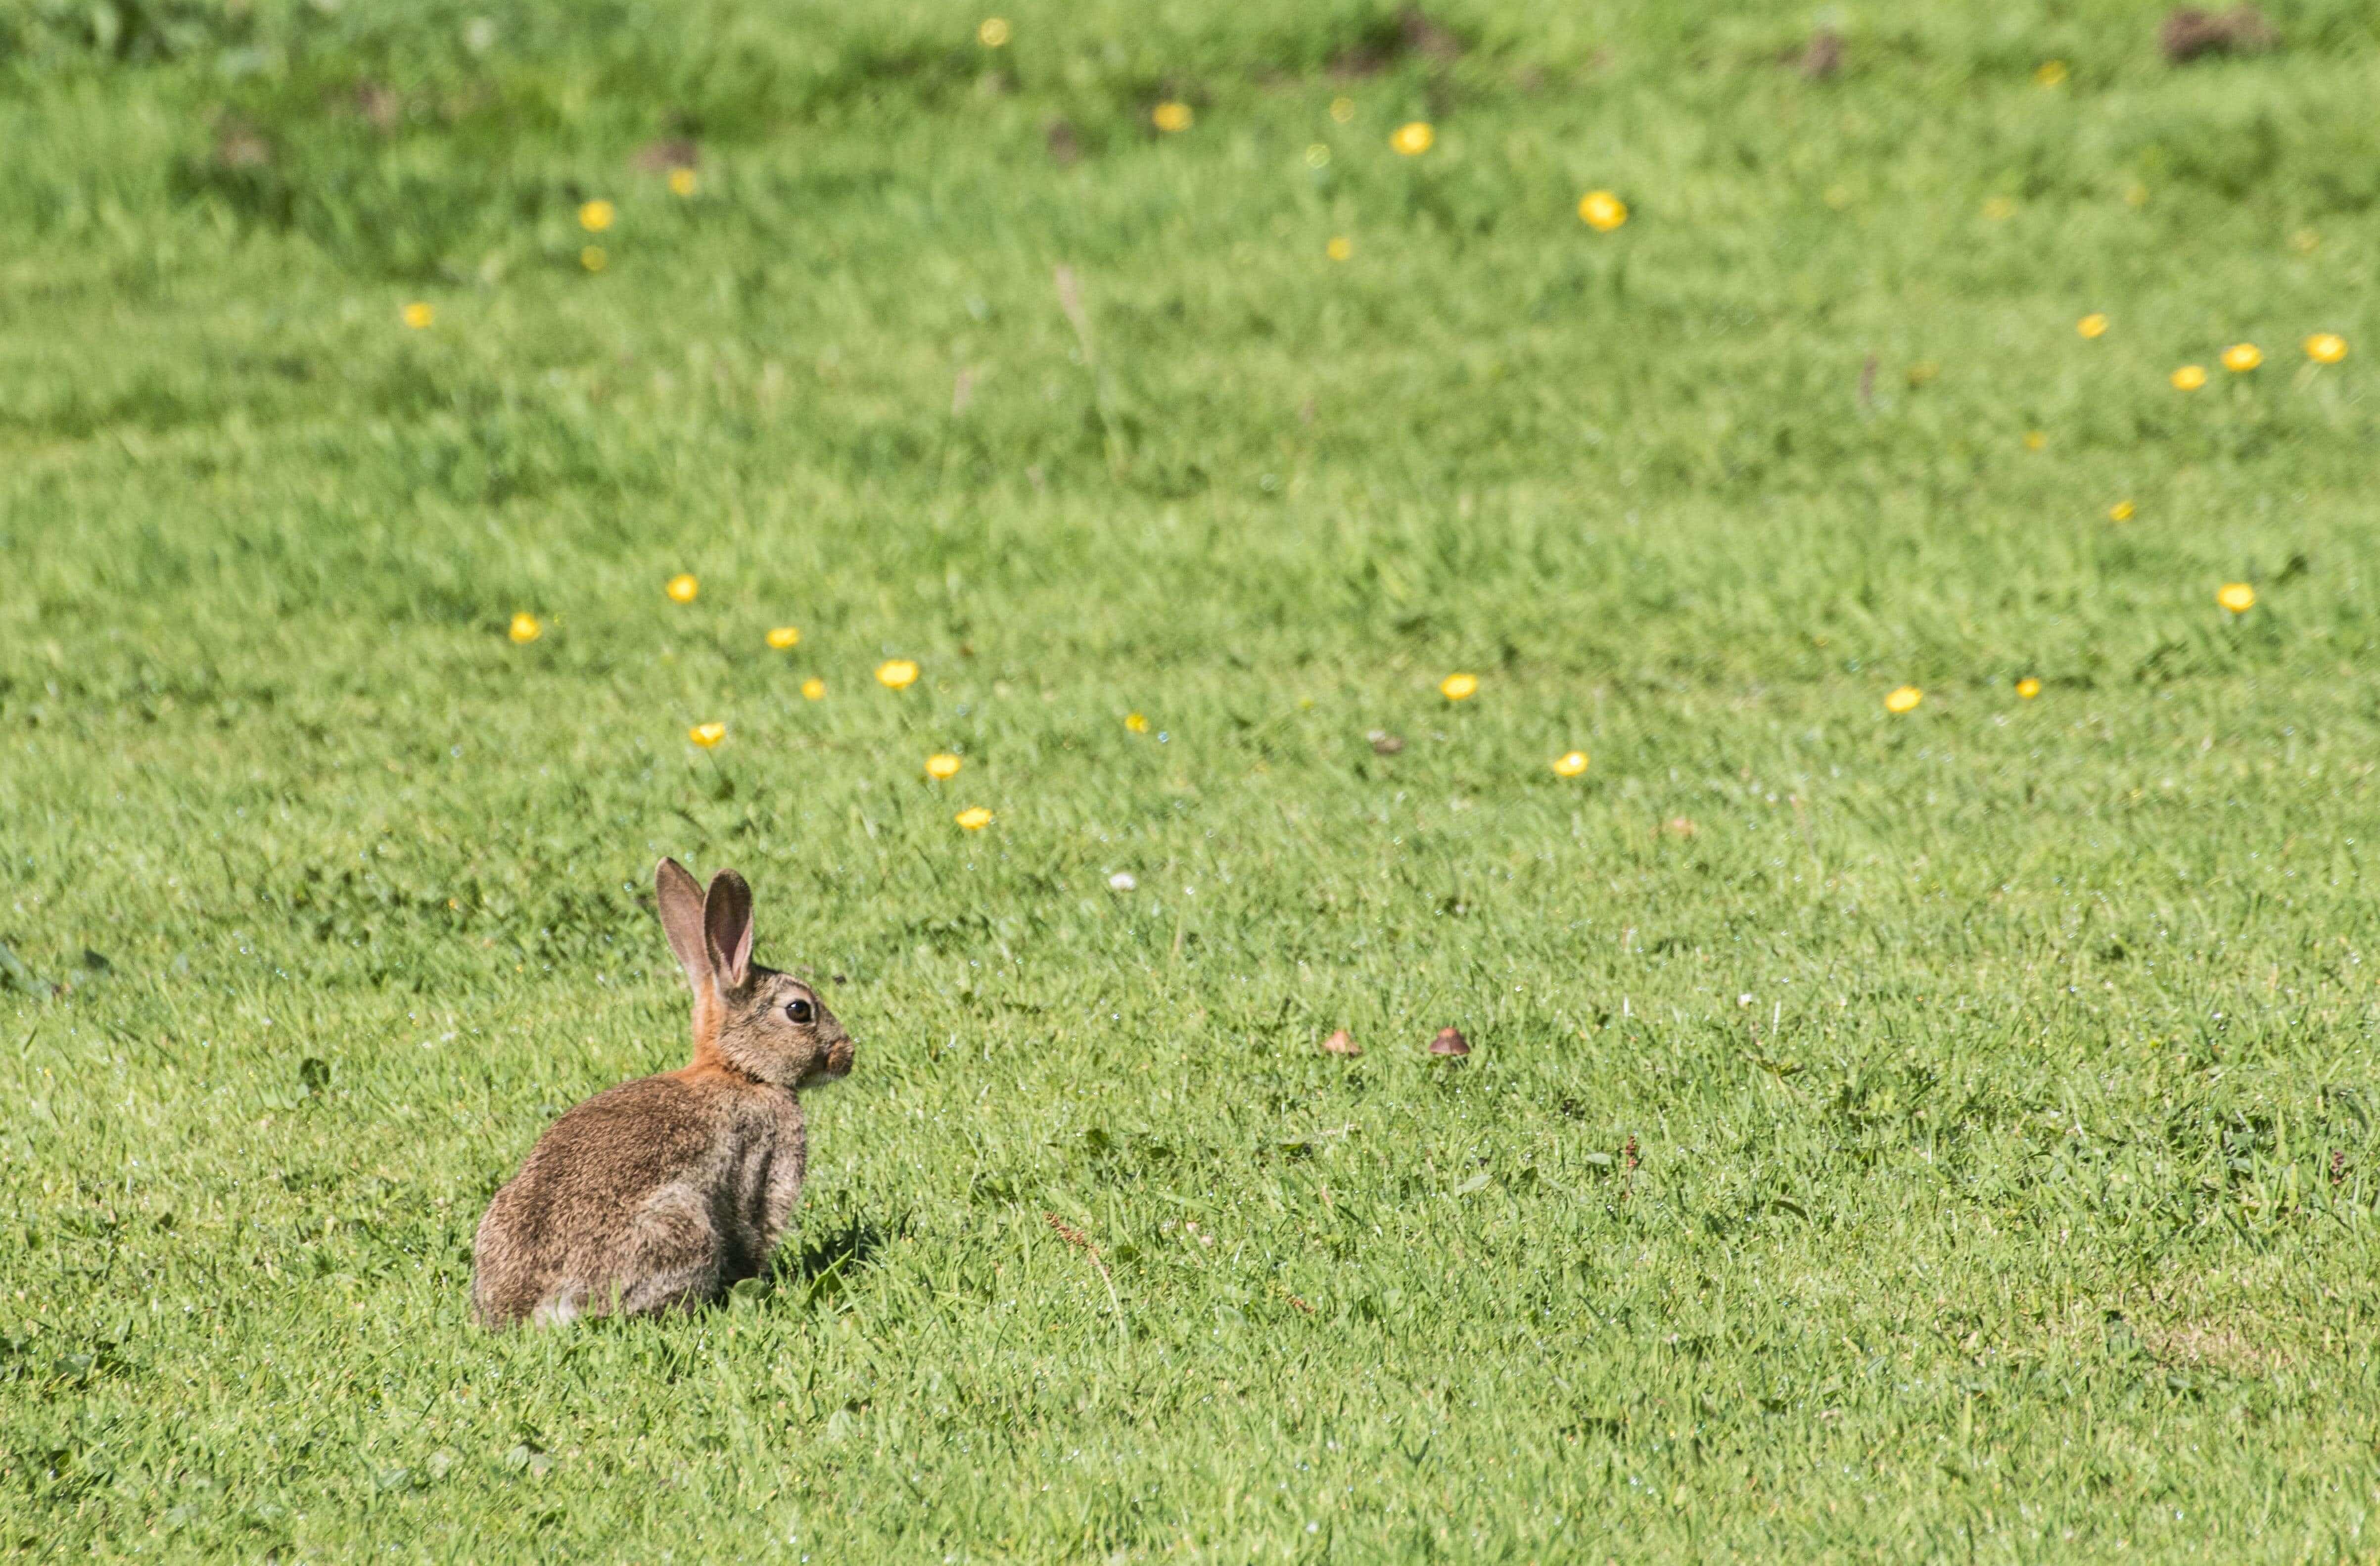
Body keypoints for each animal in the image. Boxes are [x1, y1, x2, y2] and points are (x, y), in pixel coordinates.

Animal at [468, 861, 852, 1323]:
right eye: (799, 1010)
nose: (847, 1055)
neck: (738, 1070)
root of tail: (536, 1307)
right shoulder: (765, 1162)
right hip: (681, 1224)